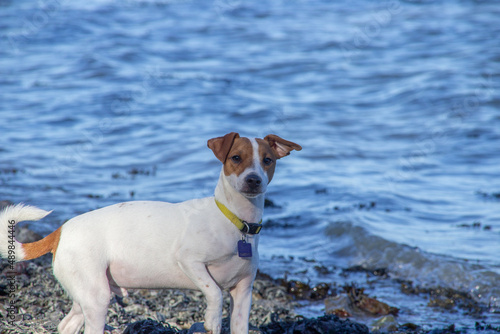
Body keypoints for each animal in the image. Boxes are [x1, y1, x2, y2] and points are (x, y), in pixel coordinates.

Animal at [0, 133, 300, 334]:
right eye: (236, 158)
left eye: (268, 161)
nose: (253, 180)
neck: (235, 222)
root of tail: (61, 231)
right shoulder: (190, 262)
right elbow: (214, 292)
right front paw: (212, 318)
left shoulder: (243, 294)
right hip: (97, 299)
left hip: (87, 292)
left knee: (67, 324)